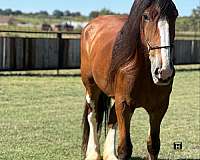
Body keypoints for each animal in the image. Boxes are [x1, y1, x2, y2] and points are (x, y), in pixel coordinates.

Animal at [80, 0, 178, 159]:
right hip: (91, 87)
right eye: (145, 16)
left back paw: (109, 155)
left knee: (111, 118)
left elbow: (153, 146)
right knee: (93, 116)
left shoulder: (159, 108)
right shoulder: (124, 106)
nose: (164, 71)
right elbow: (125, 149)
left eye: (175, 15)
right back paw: (93, 154)